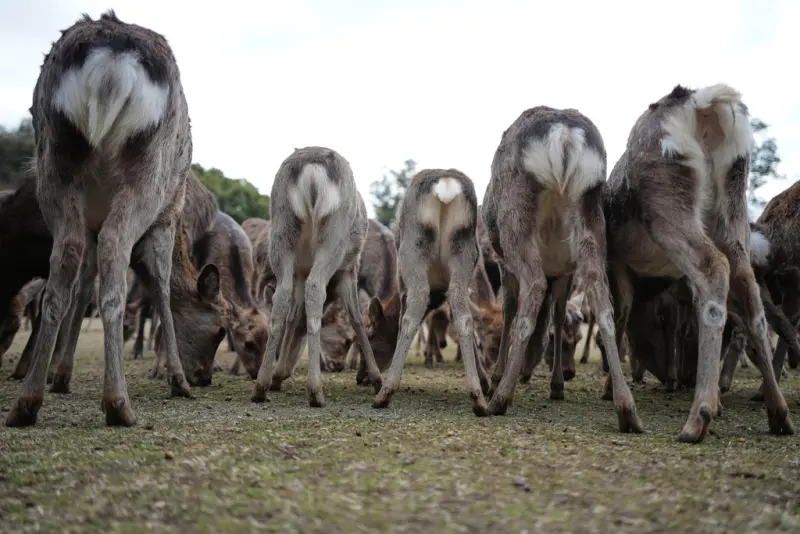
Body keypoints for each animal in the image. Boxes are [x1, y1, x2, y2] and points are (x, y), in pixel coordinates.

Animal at [5, 11, 228, 427]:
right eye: (222, 328)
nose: (204, 377)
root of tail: (111, 57)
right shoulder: (166, 218)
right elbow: (161, 288)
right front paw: (178, 381)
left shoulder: (91, 225)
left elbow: (82, 284)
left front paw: (62, 375)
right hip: (146, 174)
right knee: (115, 251)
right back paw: (117, 402)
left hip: (55, 165)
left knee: (64, 266)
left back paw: (27, 401)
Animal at [250, 146, 383, 407]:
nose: (286, 368)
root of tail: (312, 168)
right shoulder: (349, 270)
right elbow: (356, 317)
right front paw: (376, 379)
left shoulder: (300, 272)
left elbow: (293, 314)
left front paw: (277, 375)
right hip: (334, 235)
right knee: (316, 287)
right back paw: (315, 391)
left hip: (281, 231)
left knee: (281, 297)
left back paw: (261, 387)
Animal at [370, 168, 490, 416]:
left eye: (371, 335)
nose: (360, 378)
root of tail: (446, 185)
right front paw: (485, 381)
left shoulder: (402, 284)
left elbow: (402, 321)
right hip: (465, 251)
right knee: (465, 317)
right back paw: (478, 397)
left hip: (413, 250)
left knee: (413, 311)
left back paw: (385, 393)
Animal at [481, 106, 641, 432]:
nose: (526, 372)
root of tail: (565, 135)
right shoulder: (565, 270)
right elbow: (556, 314)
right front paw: (556, 384)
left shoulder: (504, 265)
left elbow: (509, 311)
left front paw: (496, 377)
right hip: (592, 217)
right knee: (602, 297)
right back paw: (626, 408)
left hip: (515, 220)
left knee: (534, 287)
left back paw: (500, 397)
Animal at [603, 83, 793, 443]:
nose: (674, 377)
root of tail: (703, 104)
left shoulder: (617, 263)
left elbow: (619, 315)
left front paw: (608, 389)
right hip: (734, 215)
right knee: (751, 296)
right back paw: (778, 413)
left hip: (668, 205)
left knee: (714, 268)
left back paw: (698, 417)